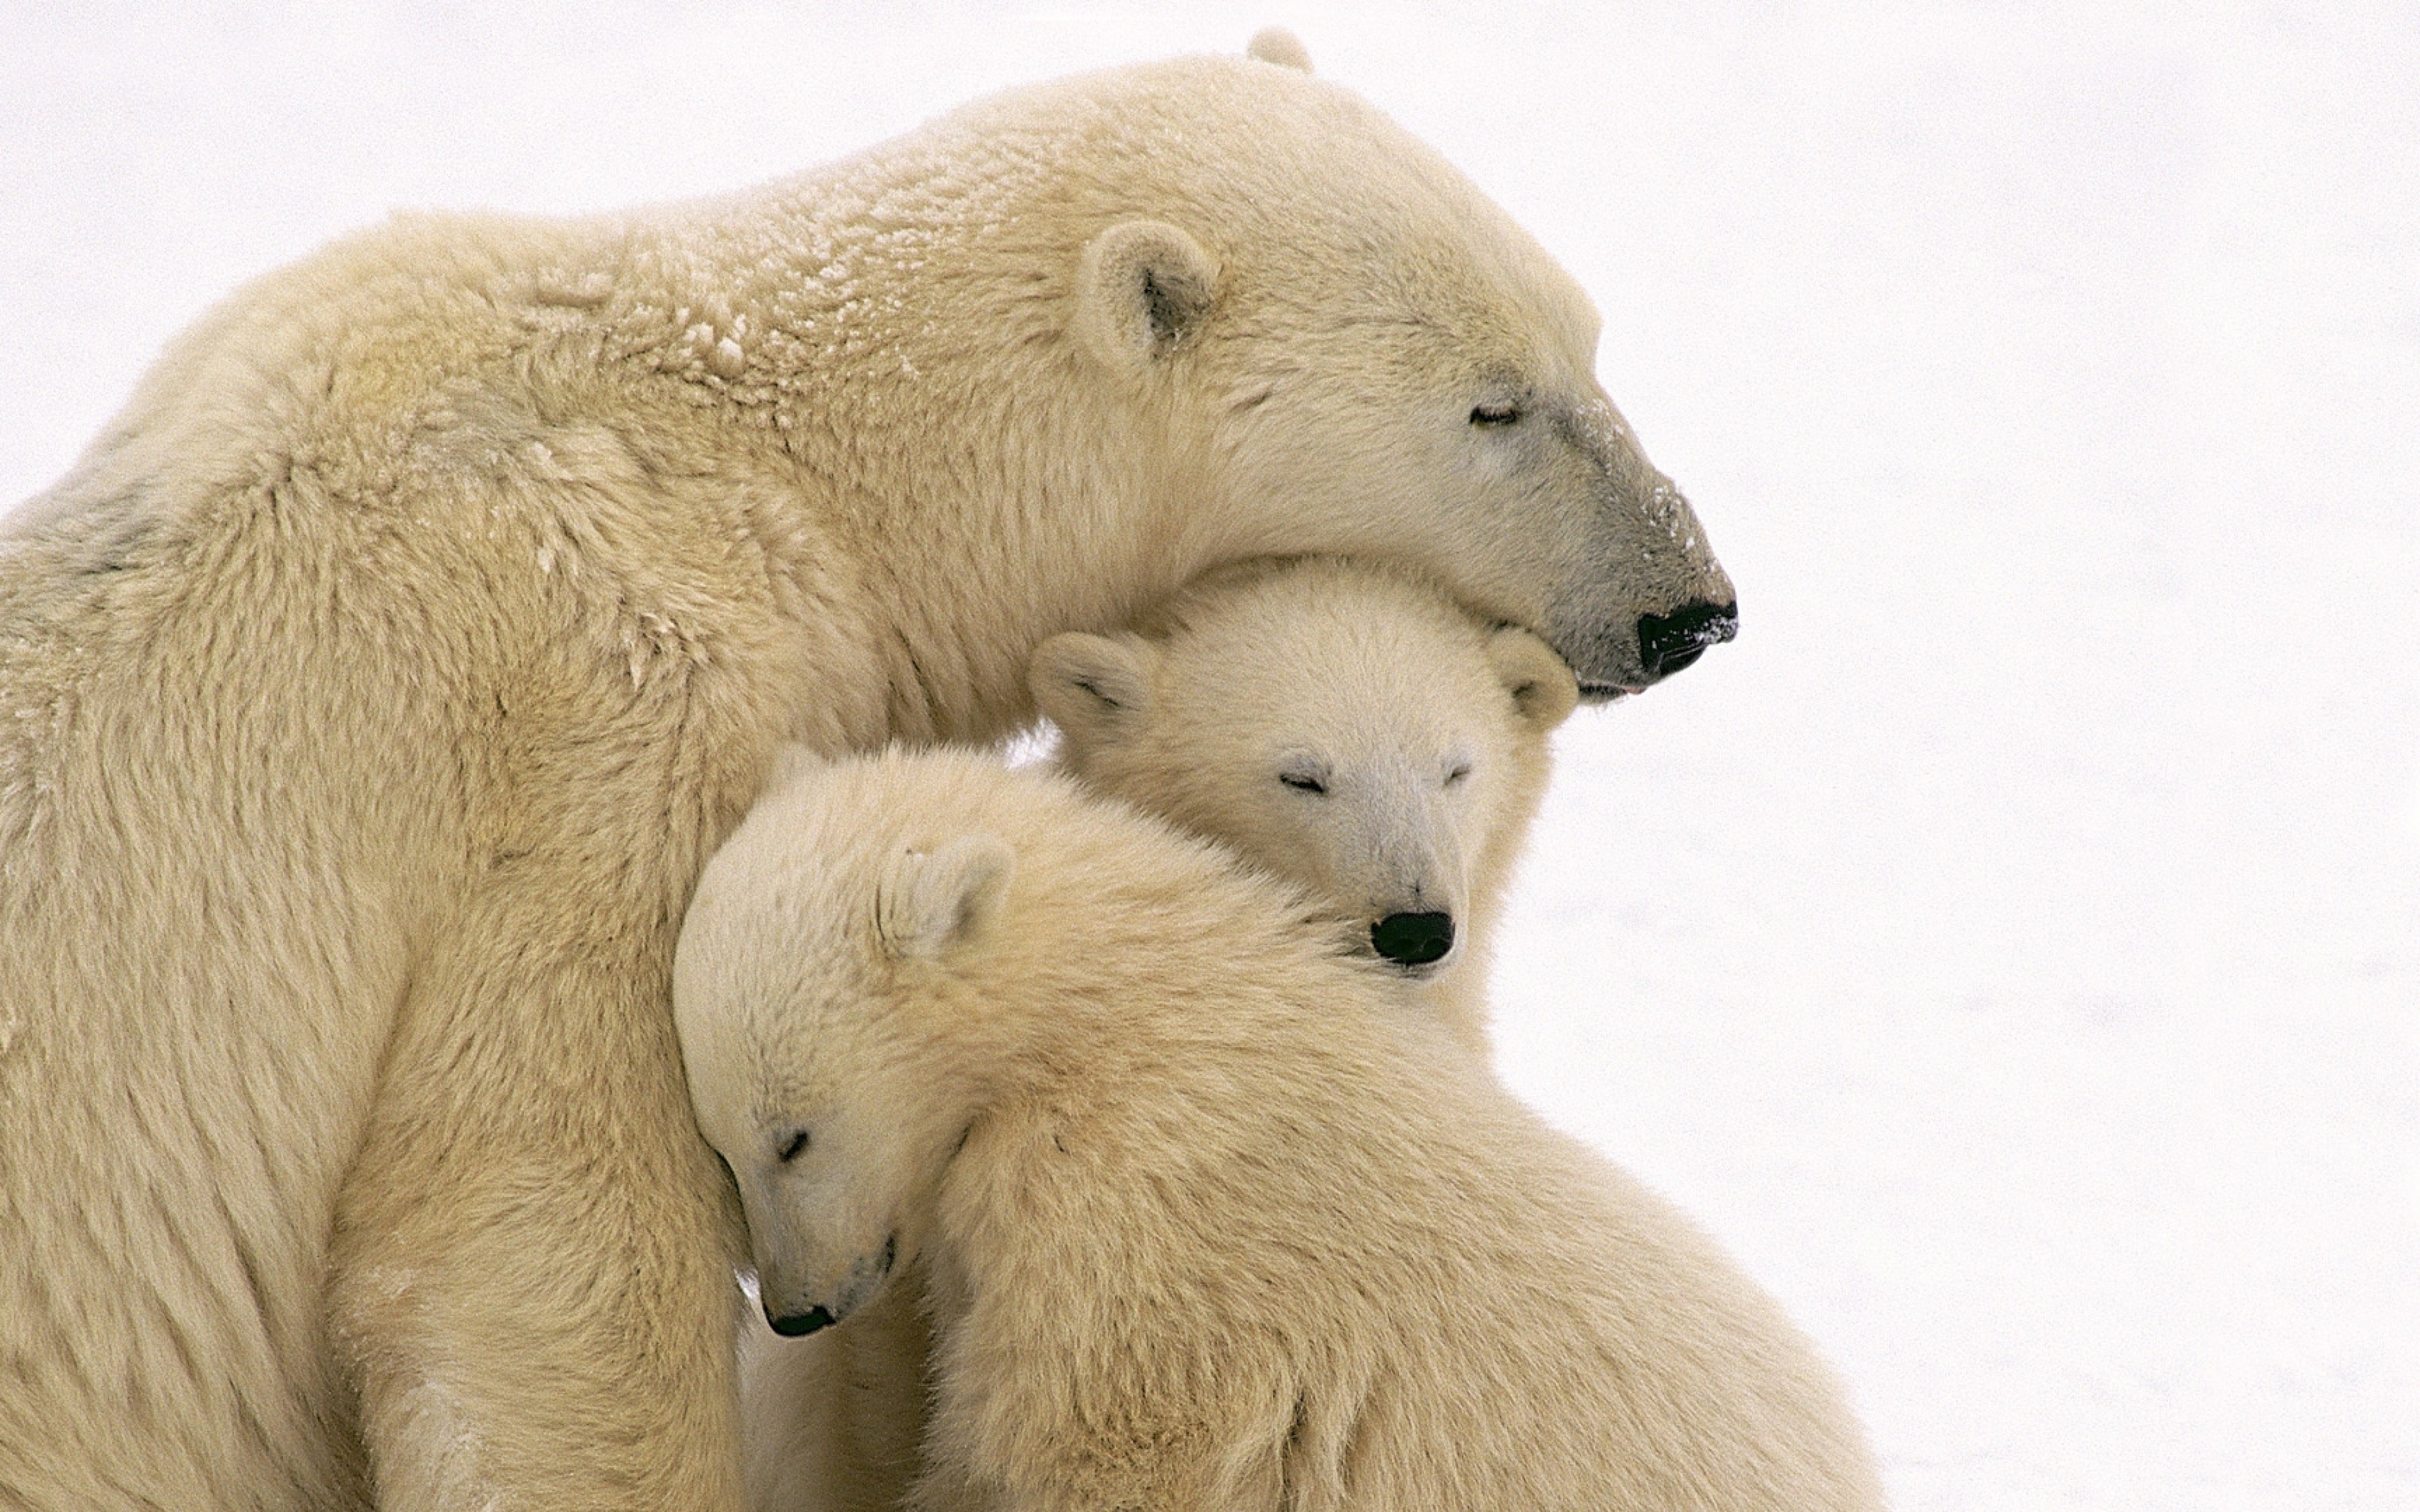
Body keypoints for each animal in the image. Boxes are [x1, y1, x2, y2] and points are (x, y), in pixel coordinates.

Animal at [672, 745, 1877, 1509]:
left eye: (792, 1136)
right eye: (721, 1147)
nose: (794, 1311)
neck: (1108, 1017)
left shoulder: (1141, 1230)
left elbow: (1094, 1448)